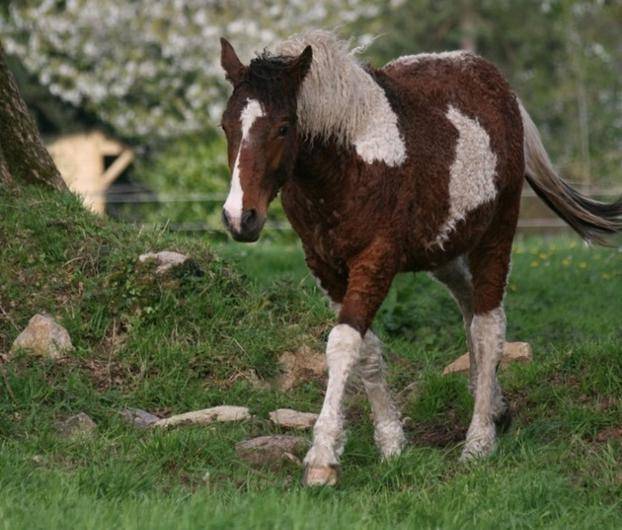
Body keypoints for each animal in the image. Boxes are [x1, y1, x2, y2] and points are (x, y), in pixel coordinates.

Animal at [217, 27, 620, 482]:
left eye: (284, 127)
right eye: (226, 125)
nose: (240, 218)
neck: (350, 164)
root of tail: (498, 83)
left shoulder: (375, 260)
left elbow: (343, 344)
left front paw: (322, 460)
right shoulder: (326, 267)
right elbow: (367, 348)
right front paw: (392, 443)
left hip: (496, 235)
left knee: (488, 325)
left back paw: (479, 441)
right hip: (443, 250)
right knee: (469, 309)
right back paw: (495, 408)